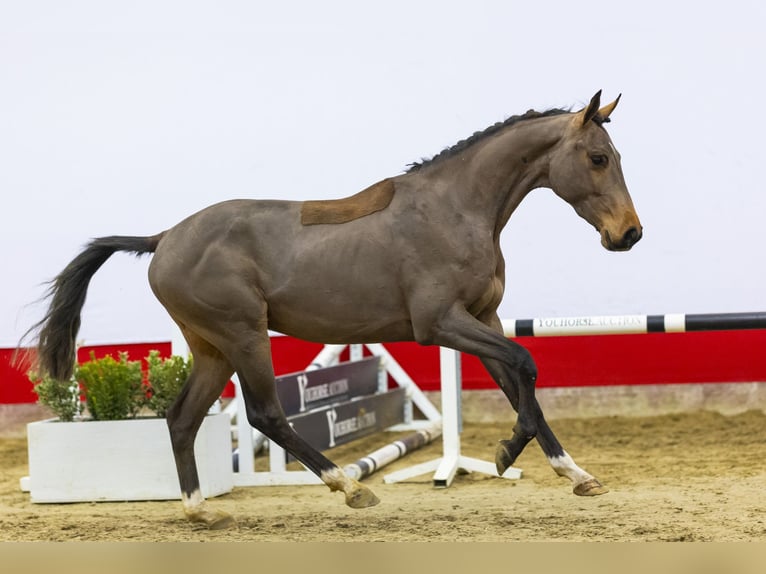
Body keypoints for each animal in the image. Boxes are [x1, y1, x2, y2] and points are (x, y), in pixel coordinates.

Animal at [28, 91, 640, 532]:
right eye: (597, 158)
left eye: (614, 157)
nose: (629, 235)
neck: (456, 208)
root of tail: (163, 239)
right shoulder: (441, 324)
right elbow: (526, 365)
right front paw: (512, 456)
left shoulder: (482, 319)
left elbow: (518, 382)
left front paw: (569, 472)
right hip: (244, 335)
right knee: (265, 415)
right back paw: (351, 487)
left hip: (212, 348)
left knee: (181, 419)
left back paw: (201, 511)